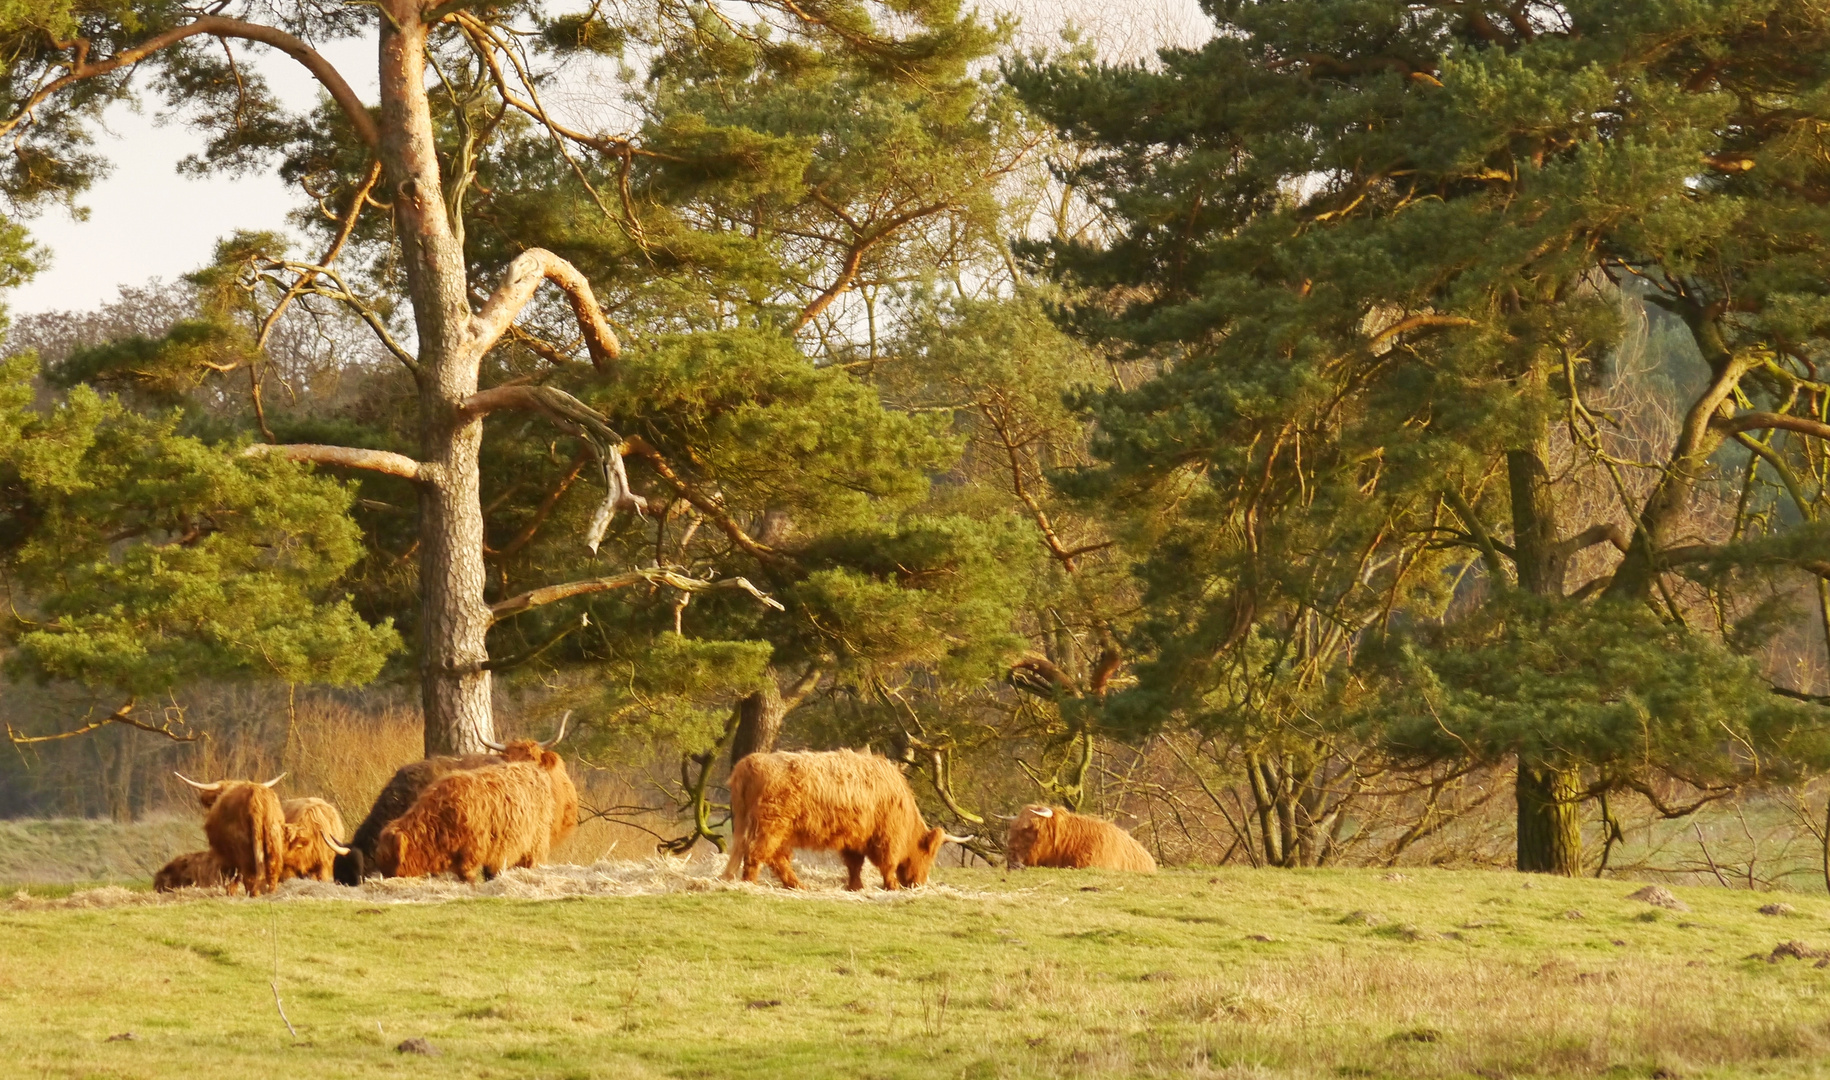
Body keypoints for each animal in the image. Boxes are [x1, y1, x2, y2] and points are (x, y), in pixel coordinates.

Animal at [717, 750, 973, 893]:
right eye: (928, 856)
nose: (918, 884)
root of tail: (751, 762)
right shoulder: (887, 837)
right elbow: (887, 864)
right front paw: (891, 886)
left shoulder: (855, 838)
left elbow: (854, 864)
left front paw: (855, 887)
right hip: (771, 825)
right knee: (756, 853)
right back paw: (750, 883)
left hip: (772, 828)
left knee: (774, 857)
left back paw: (796, 885)